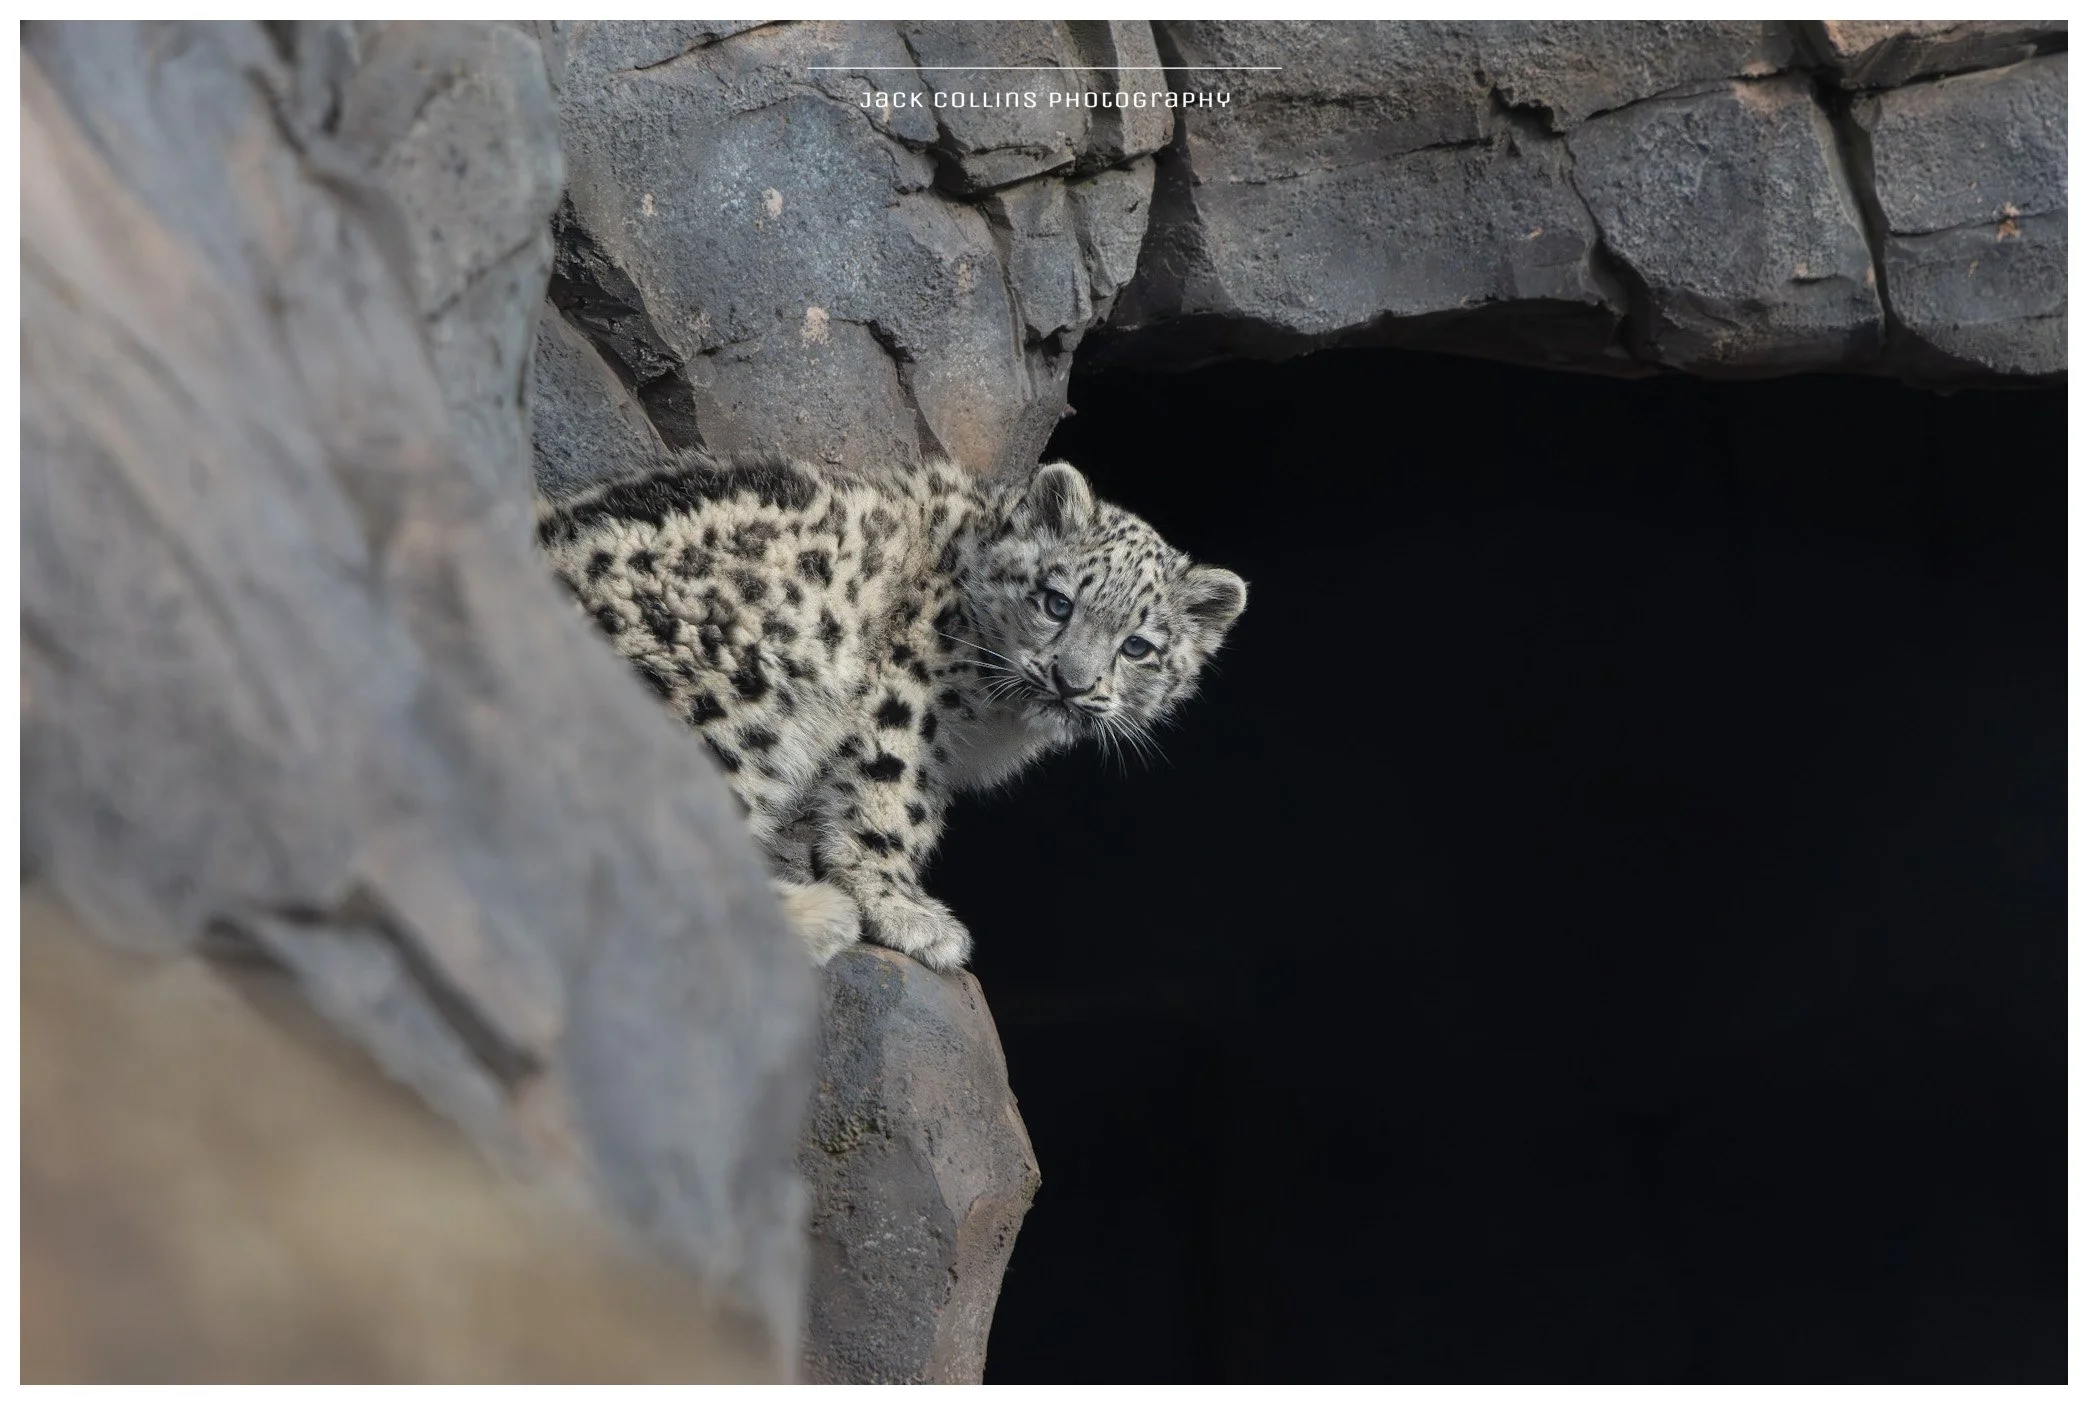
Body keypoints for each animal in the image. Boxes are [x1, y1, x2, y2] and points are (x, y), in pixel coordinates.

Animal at [535, 449, 1248, 971]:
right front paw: (907, 912)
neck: (996, 723)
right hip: (731, 689)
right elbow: (893, 797)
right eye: (1057, 601)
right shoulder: (908, 692)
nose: (1071, 683)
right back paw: (816, 917)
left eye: (1138, 646)